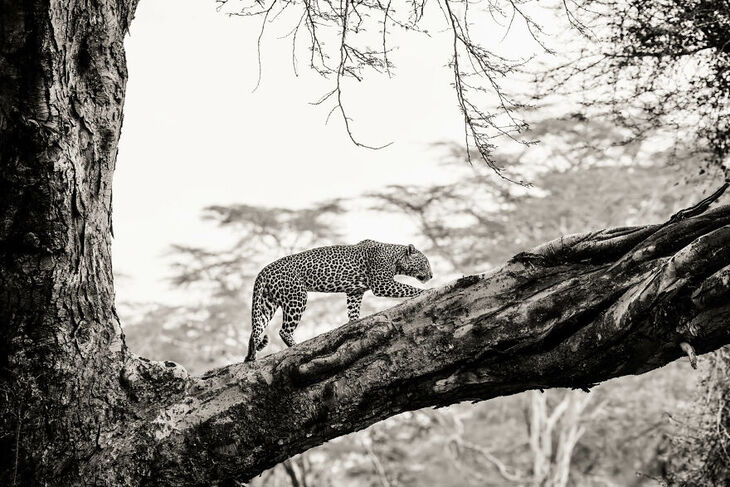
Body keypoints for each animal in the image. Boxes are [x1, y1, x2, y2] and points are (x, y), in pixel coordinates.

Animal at [245, 240, 430, 362]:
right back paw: (295, 347)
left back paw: (250, 356)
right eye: (426, 263)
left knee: (256, 329)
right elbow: (408, 288)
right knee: (283, 330)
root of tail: (264, 270)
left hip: (267, 303)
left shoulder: (355, 292)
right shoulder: (382, 284)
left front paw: (354, 324)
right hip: (296, 297)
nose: (431, 275)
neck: (395, 257)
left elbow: (353, 312)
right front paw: (428, 290)